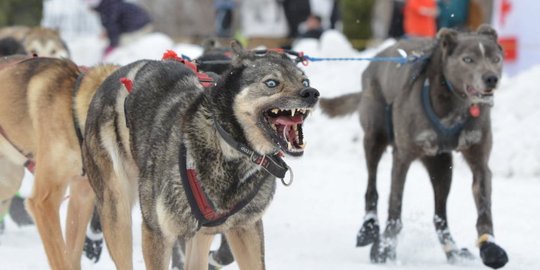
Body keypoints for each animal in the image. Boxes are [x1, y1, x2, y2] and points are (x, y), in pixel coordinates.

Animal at [83, 41, 318, 268]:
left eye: (305, 82)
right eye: (271, 83)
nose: (312, 93)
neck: (228, 146)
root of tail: (114, 75)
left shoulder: (246, 227)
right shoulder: (157, 232)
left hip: (201, 234)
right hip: (117, 211)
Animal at [318, 24, 508, 268]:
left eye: (496, 59)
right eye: (468, 59)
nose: (491, 78)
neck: (453, 105)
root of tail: (375, 59)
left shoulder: (479, 162)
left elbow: (484, 209)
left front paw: (490, 247)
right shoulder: (403, 156)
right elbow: (395, 205)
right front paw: (385, 248)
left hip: (441, 167)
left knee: (440, 215)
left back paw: (453, 251)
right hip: (374, 138)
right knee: (372, 186)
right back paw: (369, 228)